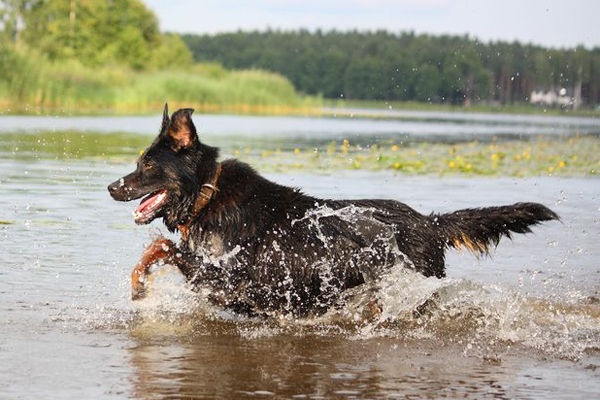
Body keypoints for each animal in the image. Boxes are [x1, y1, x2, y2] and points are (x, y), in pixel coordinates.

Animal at [106, 104, 556, 318]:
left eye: (147, 165)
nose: (112, 187)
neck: (206, 194)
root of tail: (428, 222)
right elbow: (157, 249)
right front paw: (138, 283)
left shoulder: (228, 279)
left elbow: (161, 247)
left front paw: (139, 285)